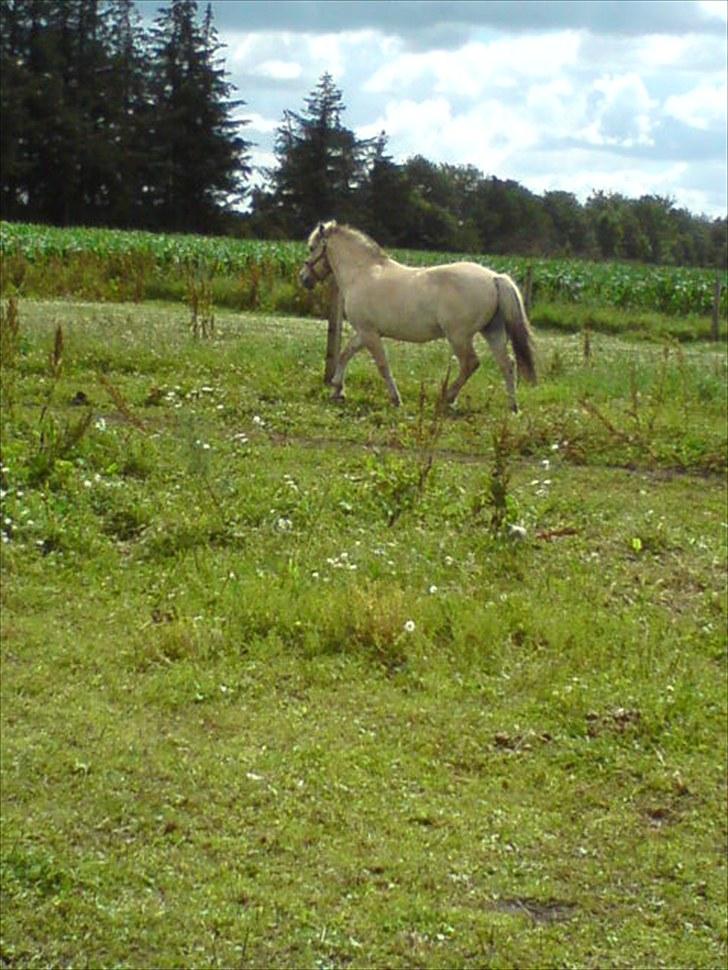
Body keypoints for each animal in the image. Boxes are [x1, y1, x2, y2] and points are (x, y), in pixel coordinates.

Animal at [298, 221, 536, 410]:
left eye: (312, 248)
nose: (304, 278)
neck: (361, 273)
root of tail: (494, 277)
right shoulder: (364, 332)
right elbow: (345, 354)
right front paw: (337, 391)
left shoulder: (369, 333)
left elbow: (382, 365)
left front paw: (396, 399)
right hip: (492, 331)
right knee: (507, 364)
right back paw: (512, 407)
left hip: (458, 336)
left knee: (471, 363)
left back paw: (447, 398)